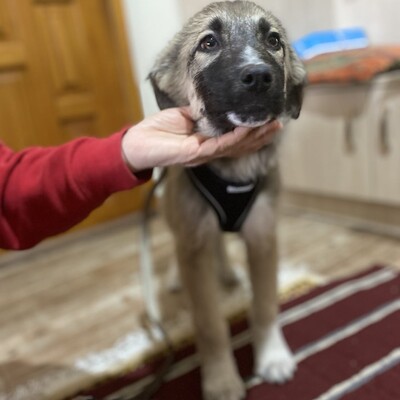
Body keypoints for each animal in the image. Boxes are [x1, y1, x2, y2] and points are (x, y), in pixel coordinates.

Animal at [148, 1, 304, 398]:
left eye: (274, 40)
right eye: (208, 42)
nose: (260, 76)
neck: (233, 167)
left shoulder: (263, 236)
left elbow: (264, 305)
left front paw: (272, 357)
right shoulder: (194, 242)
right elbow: (209, 324)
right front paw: (220, 379)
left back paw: (229, 272)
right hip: (181, 221)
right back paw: (176, 276)